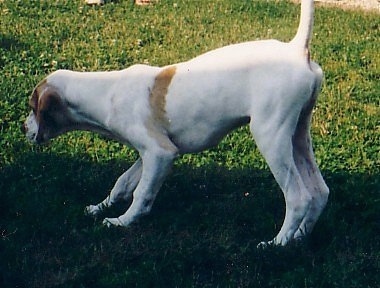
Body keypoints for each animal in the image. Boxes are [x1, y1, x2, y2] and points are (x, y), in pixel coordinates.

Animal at [23, 0, 328, 248]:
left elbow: (141, 194)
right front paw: (100, 208)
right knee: (319, 192)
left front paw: (122, 222)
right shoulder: (153, 153)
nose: (24, 129)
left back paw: (278, 244)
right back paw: (299, 239)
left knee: (299, 196)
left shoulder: (160, 153)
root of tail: (296, 50)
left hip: (270, 135)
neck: (105, 91)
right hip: (298, 135)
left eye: (32, 108)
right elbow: (123, 183)